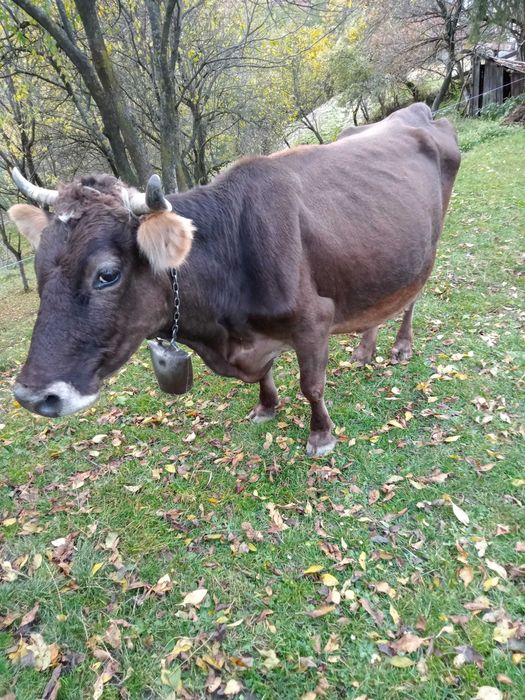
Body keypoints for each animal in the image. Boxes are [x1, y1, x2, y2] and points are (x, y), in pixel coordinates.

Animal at [8, 103, 460, 456]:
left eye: (107, 274)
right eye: (40, 266)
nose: (32, 396)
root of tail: (417, 111)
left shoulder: (314, 319)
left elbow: (312, 384)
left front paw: (321, 434)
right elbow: (265, 376)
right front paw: (266, 407)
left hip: (430, 242)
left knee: (413, 295)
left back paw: (401, 346)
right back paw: (365, 350)